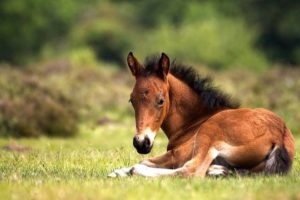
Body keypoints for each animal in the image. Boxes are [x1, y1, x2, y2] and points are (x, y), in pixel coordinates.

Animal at [108, 52, 296, 177]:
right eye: (131, 100)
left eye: (161, 100)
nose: (141, 143)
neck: (195, 121)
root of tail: (280, 136)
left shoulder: (178, 154)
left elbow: (144, 161)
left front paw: (124, 171)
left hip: (208, 136)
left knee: (191, 171)